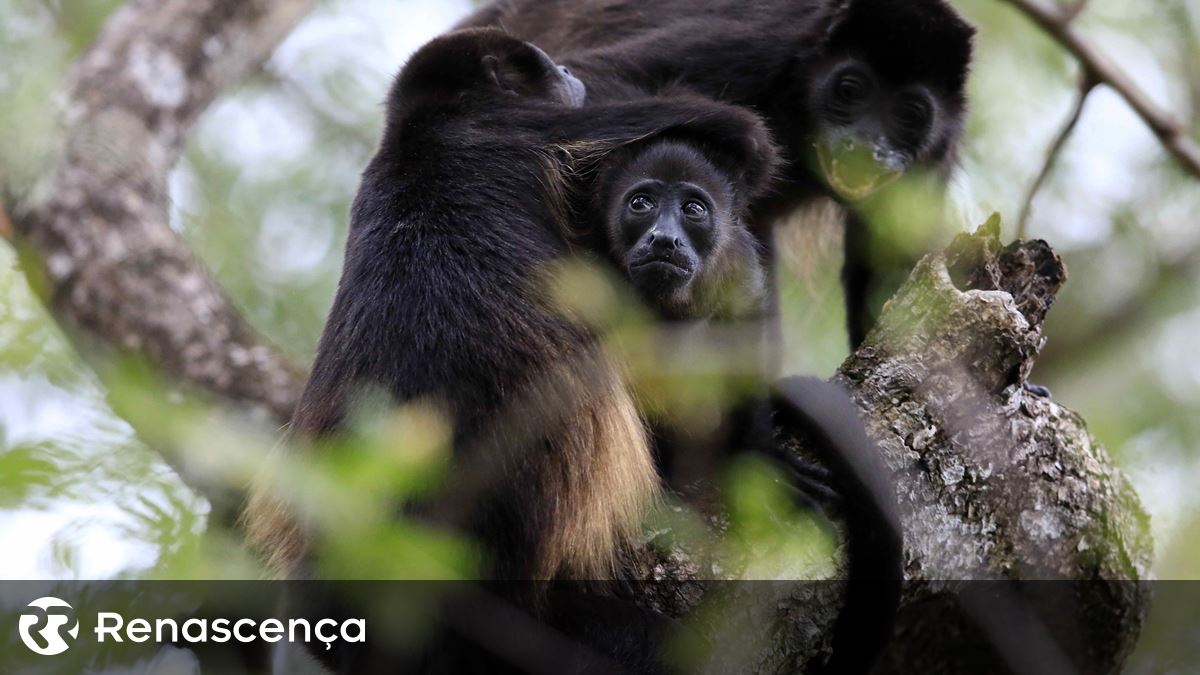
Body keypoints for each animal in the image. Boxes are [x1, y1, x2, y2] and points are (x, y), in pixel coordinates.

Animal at [458, 0, 974, 345]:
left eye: (909, 115)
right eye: (850, 90)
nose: (867, 149)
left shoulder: (937, 151)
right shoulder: (760, 47)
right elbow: (600, 81)